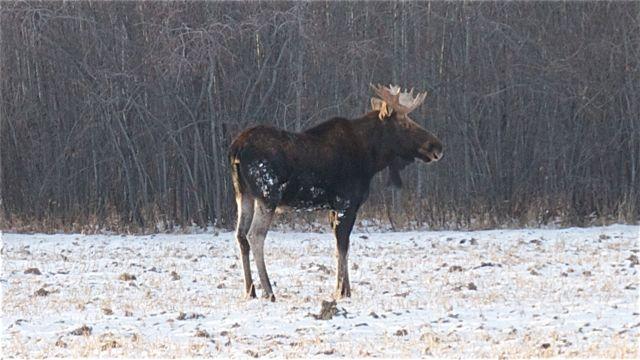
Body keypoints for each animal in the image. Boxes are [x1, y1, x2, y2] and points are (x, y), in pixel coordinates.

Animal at [230, 84, 444, 300]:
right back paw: (268, 290)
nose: (437, 146)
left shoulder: (333, 207)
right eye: (405, 123)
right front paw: (341, 291)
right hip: (268, 195)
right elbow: (343, 245)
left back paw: (250, 290)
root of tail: (236, 148)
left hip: (243, 194)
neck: (371, 159)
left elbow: (339, 247)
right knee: (255, 235)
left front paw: (344, 288)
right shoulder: (347, 203)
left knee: (240, 235)